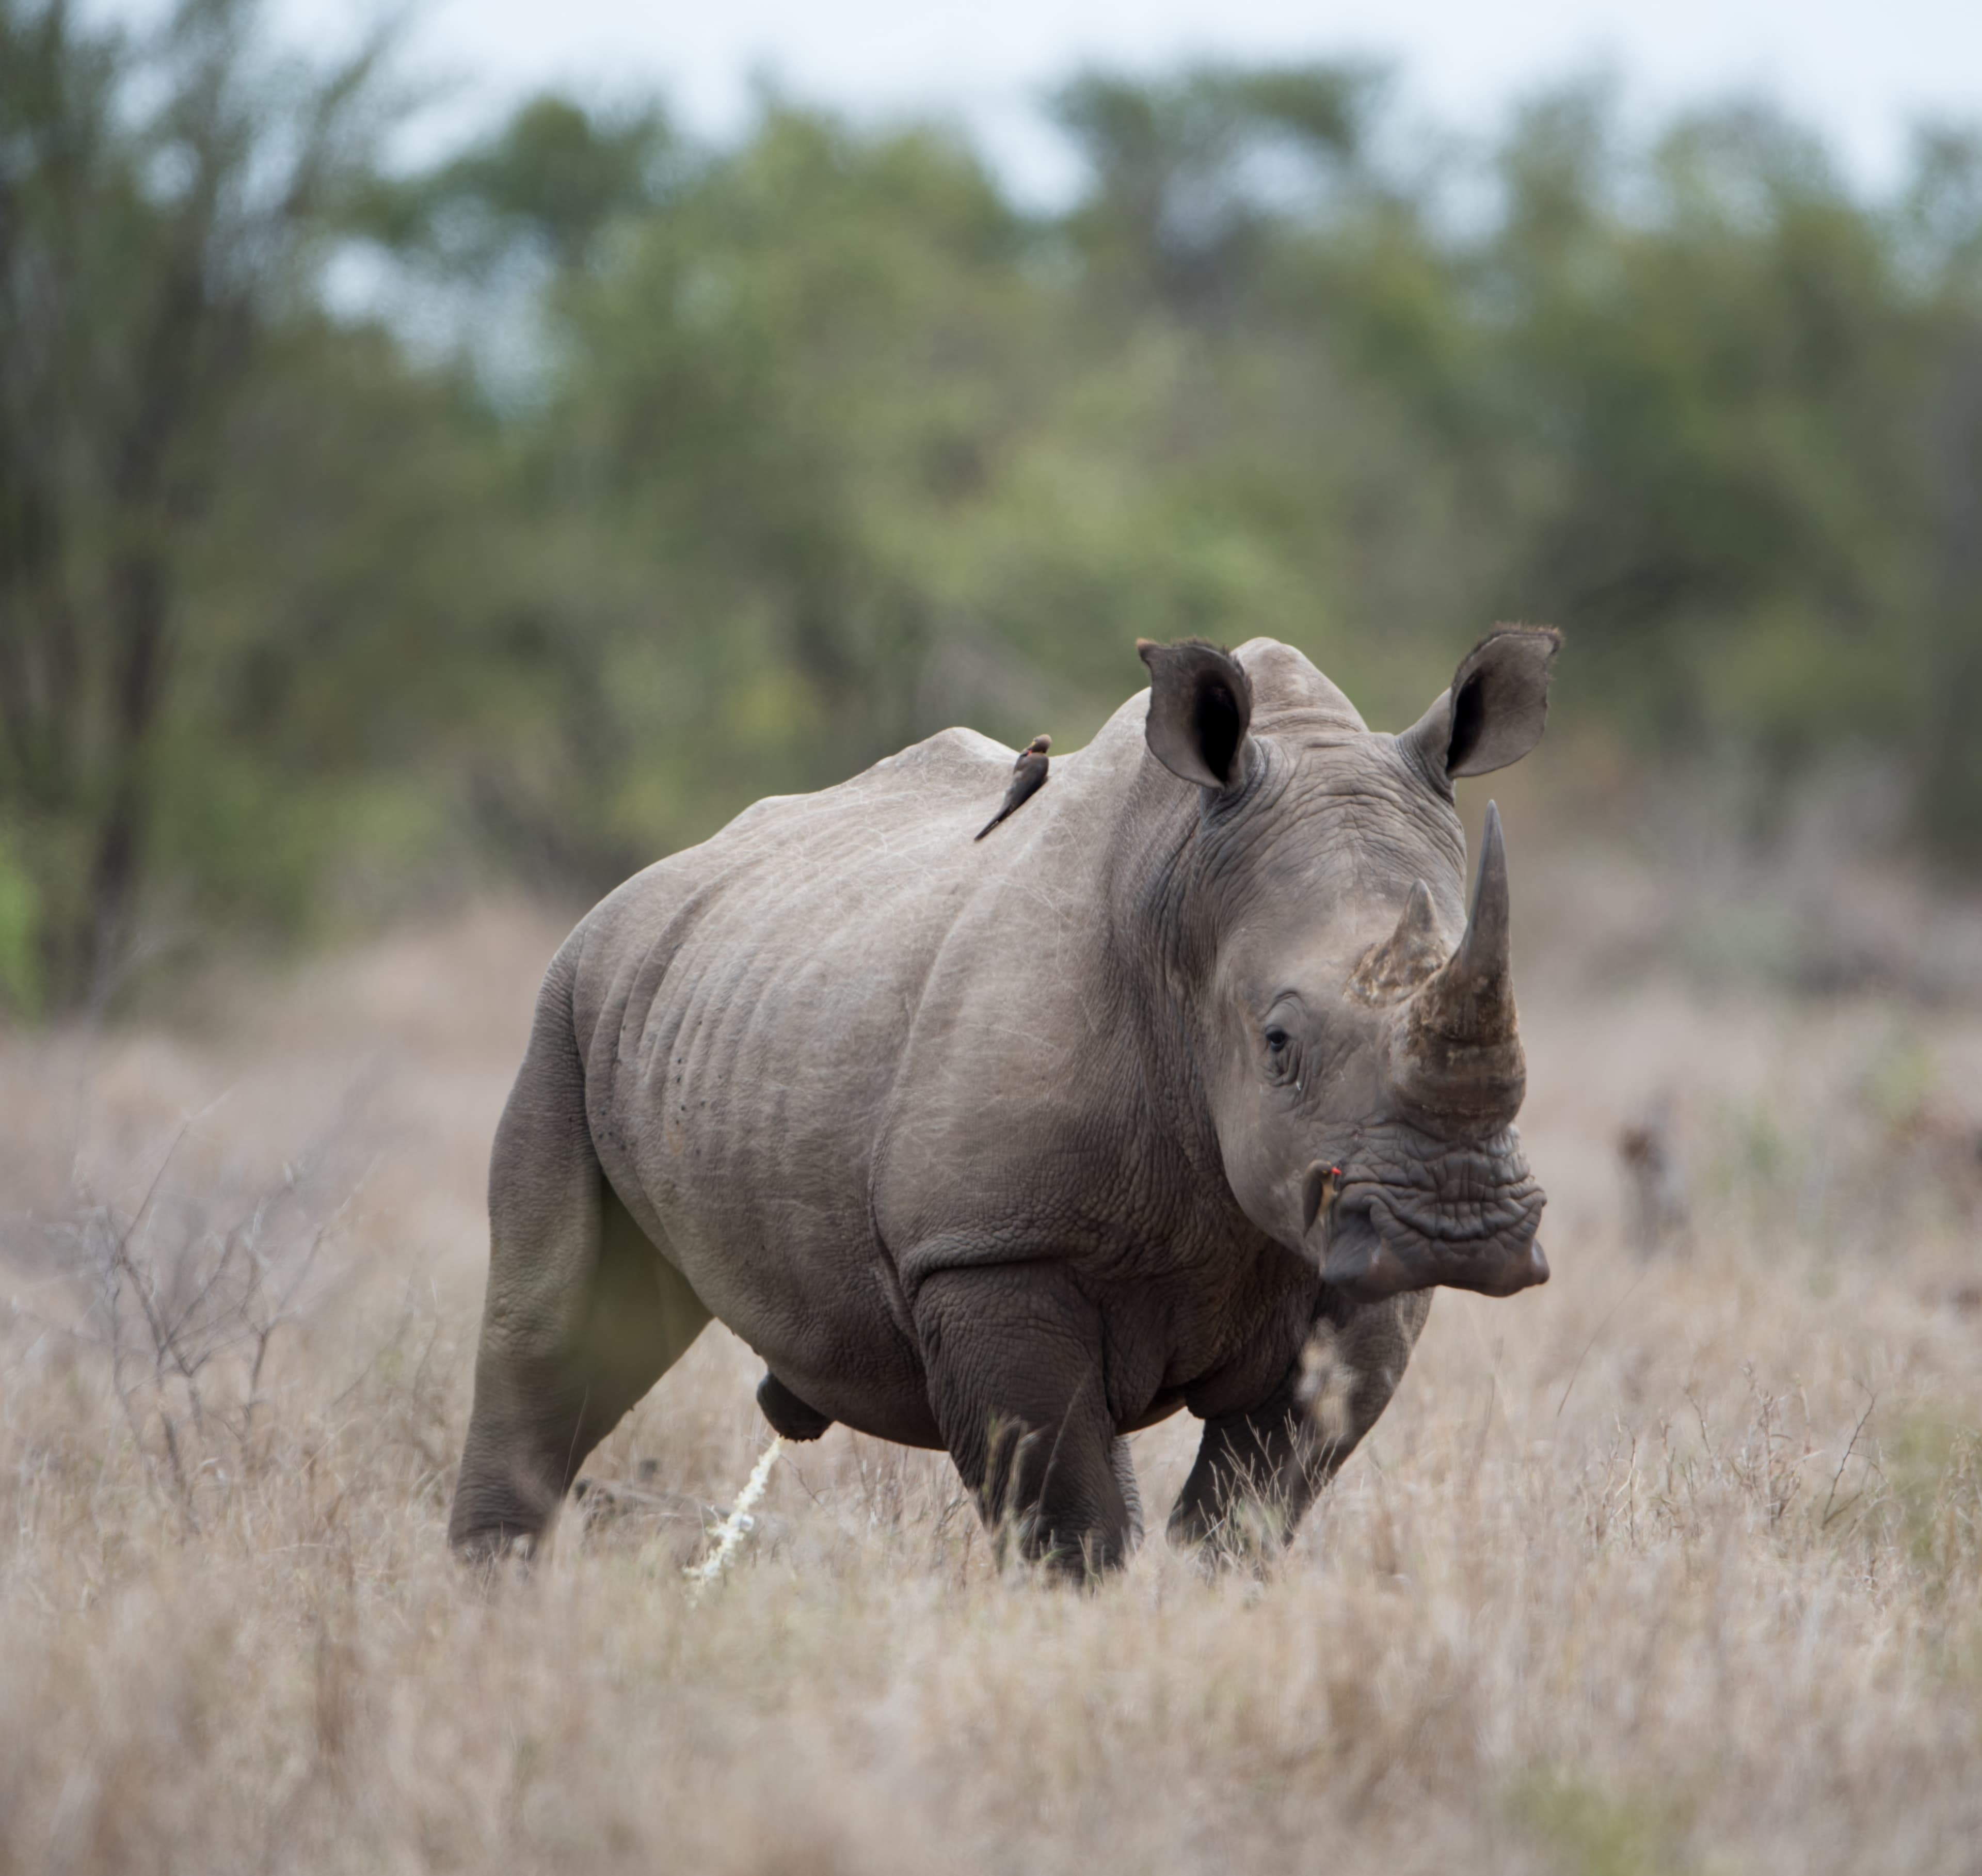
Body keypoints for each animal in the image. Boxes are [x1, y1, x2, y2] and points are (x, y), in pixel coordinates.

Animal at [450, 629, 1559, 1574]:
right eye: (1279, 1042)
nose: (1457, 1226)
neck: (1181, 893)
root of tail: (639, 887)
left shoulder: (1351, 1259)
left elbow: (1246, 1508)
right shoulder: (987, 1250)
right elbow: (1064, 1510)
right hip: (570, 999)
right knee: (552, 1328)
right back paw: (491, 1612)